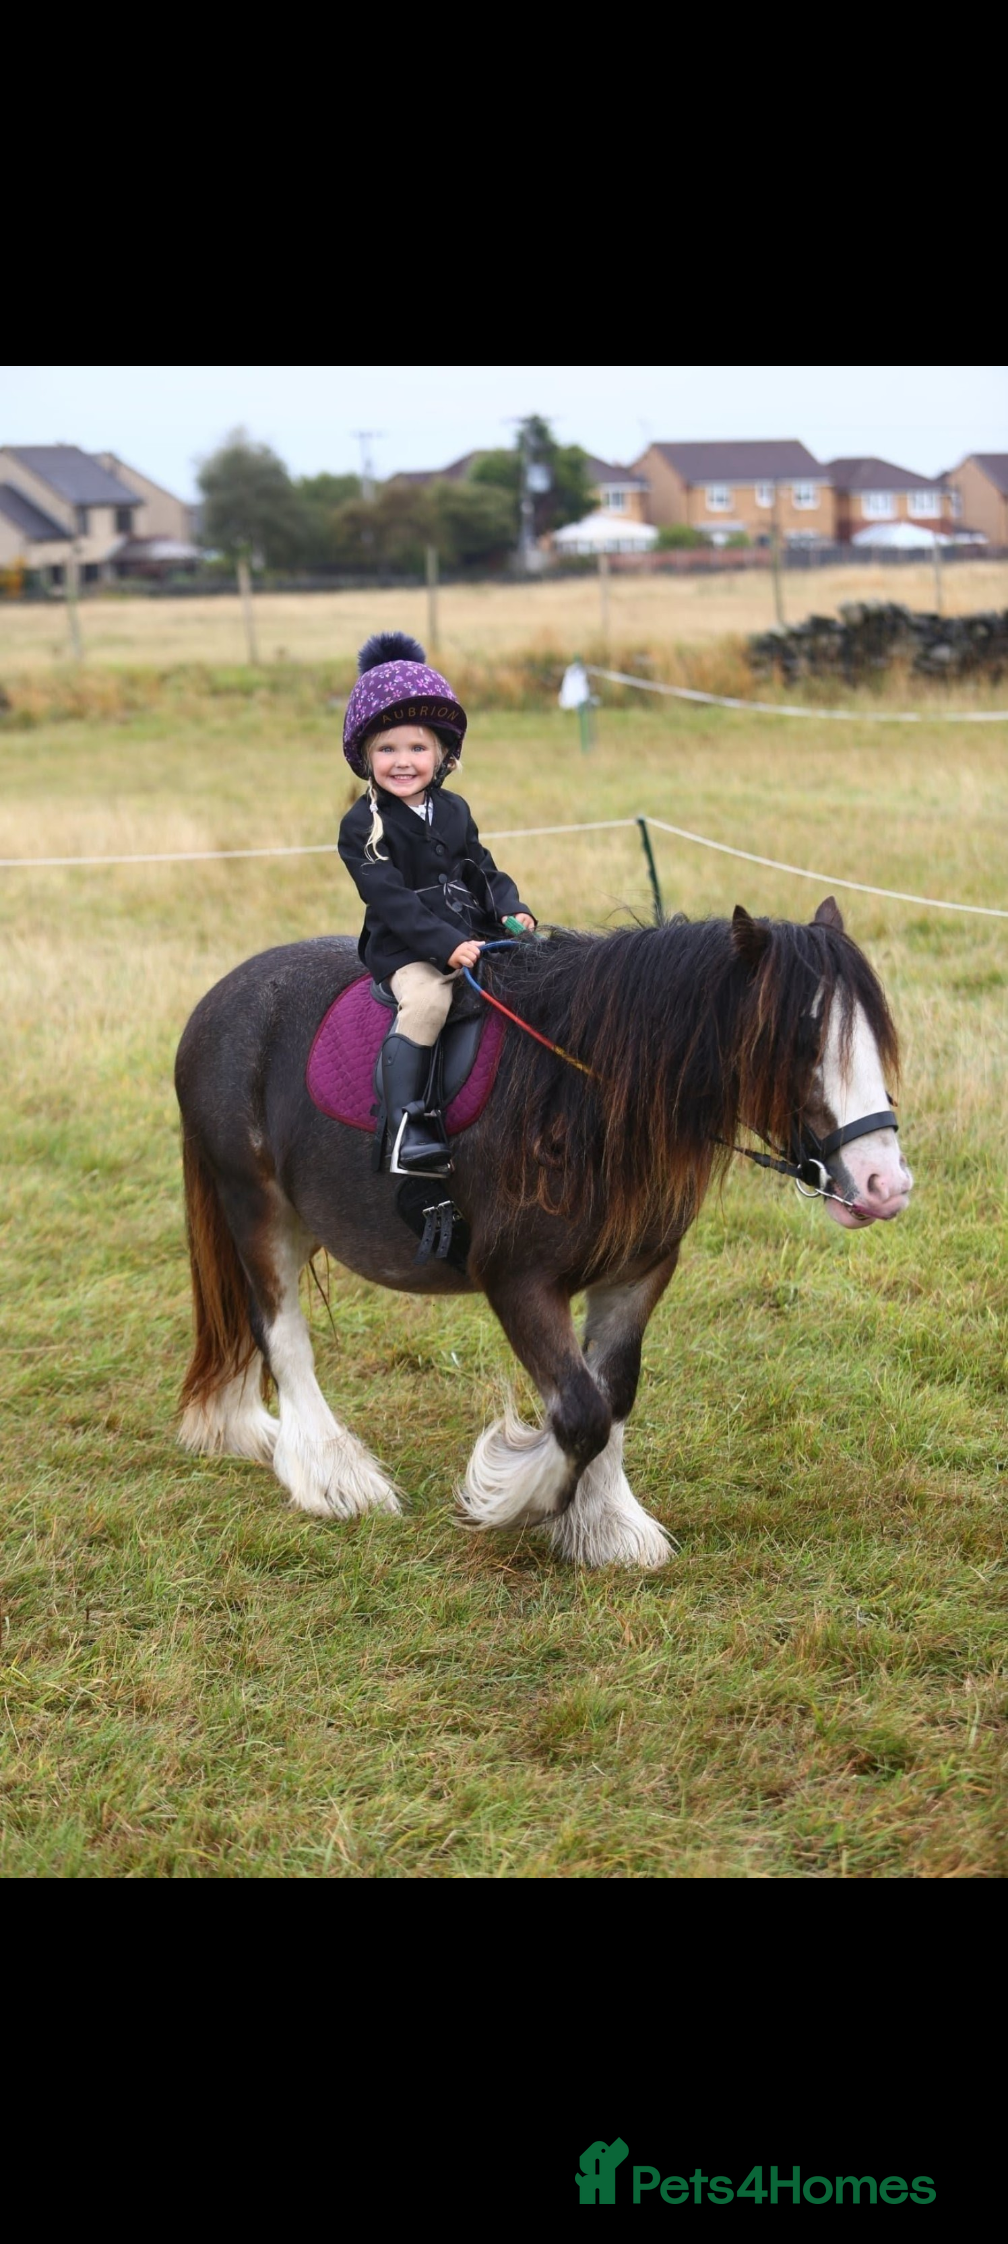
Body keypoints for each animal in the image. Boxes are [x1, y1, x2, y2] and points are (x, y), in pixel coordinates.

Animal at [173, 897, 912, 1569]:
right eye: (800, 1042)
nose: (885, 1184)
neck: (584, 1092)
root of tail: (218, 1000)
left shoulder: (637, 1275)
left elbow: (613, 1395)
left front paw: (605, 1525)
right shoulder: (518, 1281)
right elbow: (580, 1411)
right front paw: (514, 1494)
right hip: (257, 1207)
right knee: (282, 1334)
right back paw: (334, 1477)